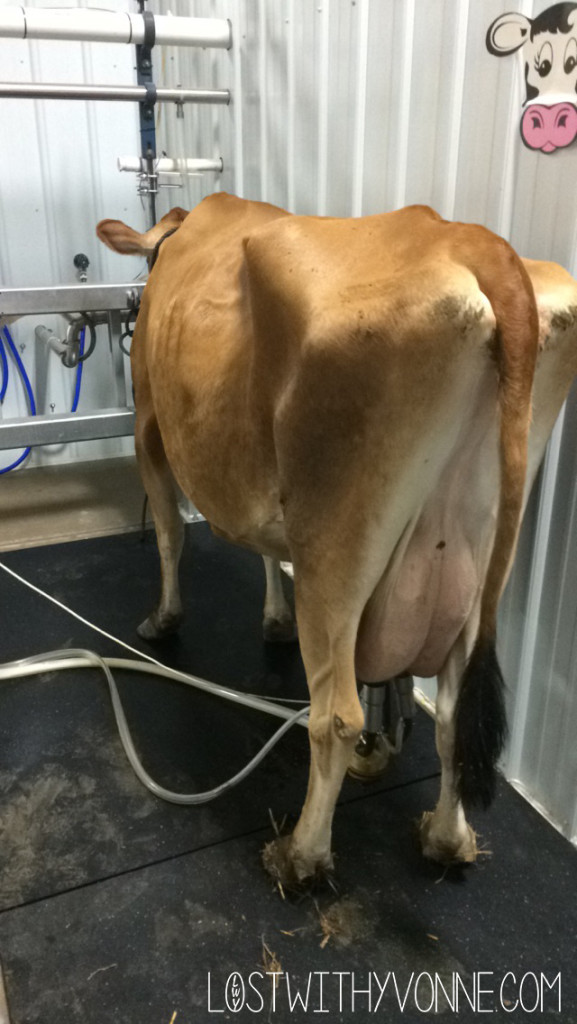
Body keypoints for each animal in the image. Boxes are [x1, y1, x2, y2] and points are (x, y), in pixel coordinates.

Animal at [97, 194, 577, 886]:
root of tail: (470, 241)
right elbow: (265, 552)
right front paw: (272, 619)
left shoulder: (146, 421)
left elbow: (167, 535)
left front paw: (163, 620)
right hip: (484, 553)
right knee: (454, 715)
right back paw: (446, 837)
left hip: (335, 541)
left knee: (339, 717)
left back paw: (301, 855)